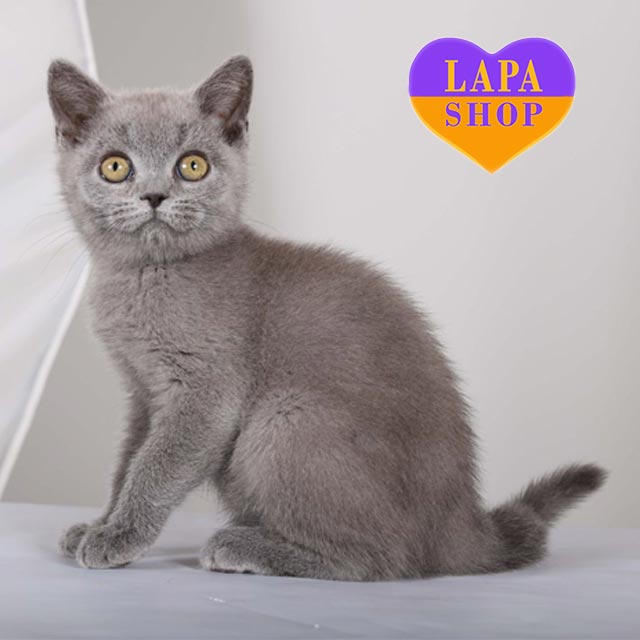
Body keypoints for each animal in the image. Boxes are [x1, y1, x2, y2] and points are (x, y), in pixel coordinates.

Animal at [48, 56, 606, 580]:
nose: (155, 195)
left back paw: (243, 545)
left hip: (287, 419)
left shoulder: (204, 394)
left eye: (192, 166)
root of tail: (461, 526)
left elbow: (156, 466)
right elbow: (127, 460)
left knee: (378, 558)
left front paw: (118, 536)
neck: (144, 276)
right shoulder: (142, 393)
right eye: (115, 167)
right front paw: (99, 523)